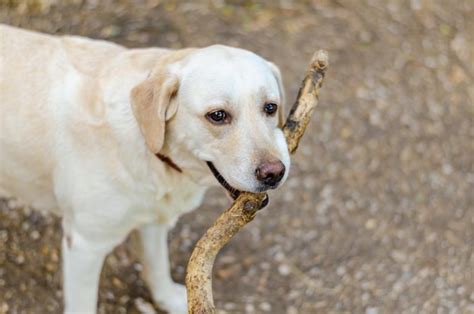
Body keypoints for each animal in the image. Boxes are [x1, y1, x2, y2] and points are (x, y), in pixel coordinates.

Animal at [0, 23, 290, 312]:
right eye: (217, 115)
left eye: (270, 107)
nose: (274, 173)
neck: (146, 143)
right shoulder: (84, 244)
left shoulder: (153, 220)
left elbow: (157, 266)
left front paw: (171, 300)